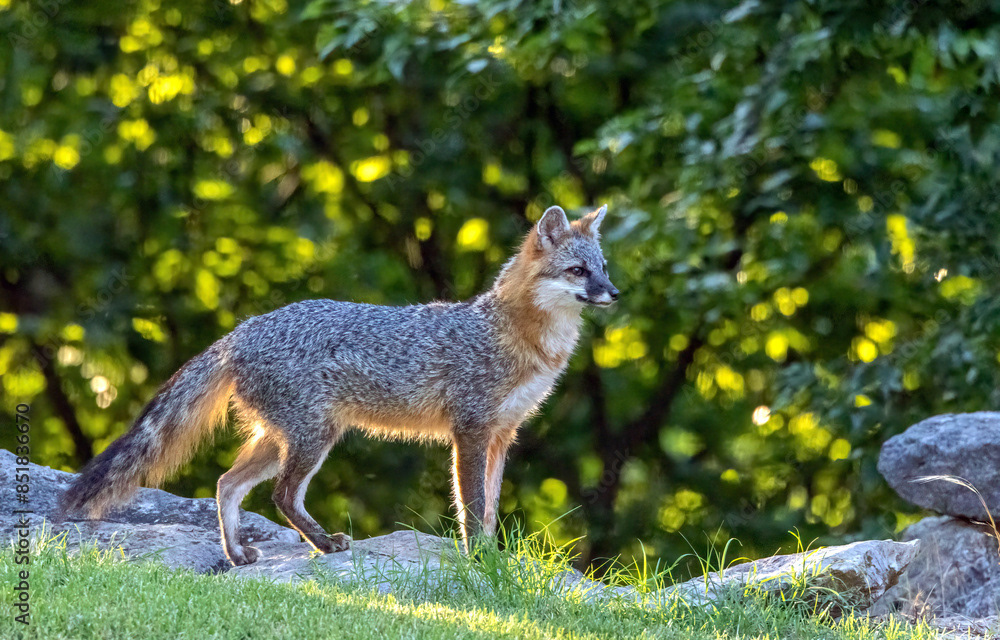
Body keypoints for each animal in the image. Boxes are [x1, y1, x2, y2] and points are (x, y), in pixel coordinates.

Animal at [59, 204, 619, 566]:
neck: (518, 337)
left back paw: (237, 553)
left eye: (603, 268)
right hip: (313, 441)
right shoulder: (471, 431)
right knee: (282, 496)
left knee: (226, 484)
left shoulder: (503, 435)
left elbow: (492, 507)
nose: (614, 293)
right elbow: (473, 506)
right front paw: (478, 559)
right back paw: (324, 545)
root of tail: (242, 328)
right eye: (578, 271)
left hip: (281, 441)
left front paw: (495, 558)